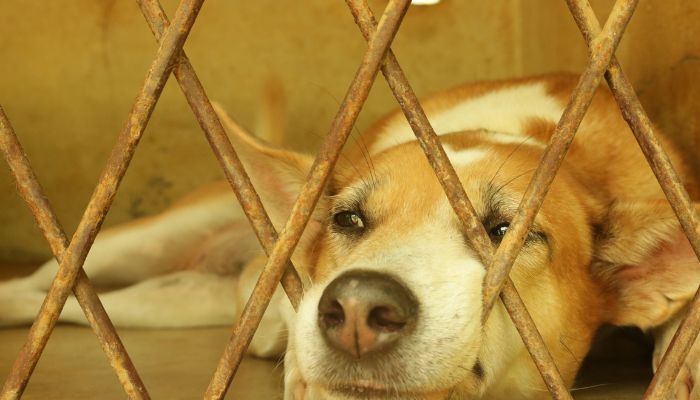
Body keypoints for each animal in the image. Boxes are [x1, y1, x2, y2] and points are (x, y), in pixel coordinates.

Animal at [1, 74, 700, 396]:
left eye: (506, 231)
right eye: (347, 219)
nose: (359, 307)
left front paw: (682, 363)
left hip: (163, 302)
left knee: (67, 307)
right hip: (131, 243)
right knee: (42, 284)